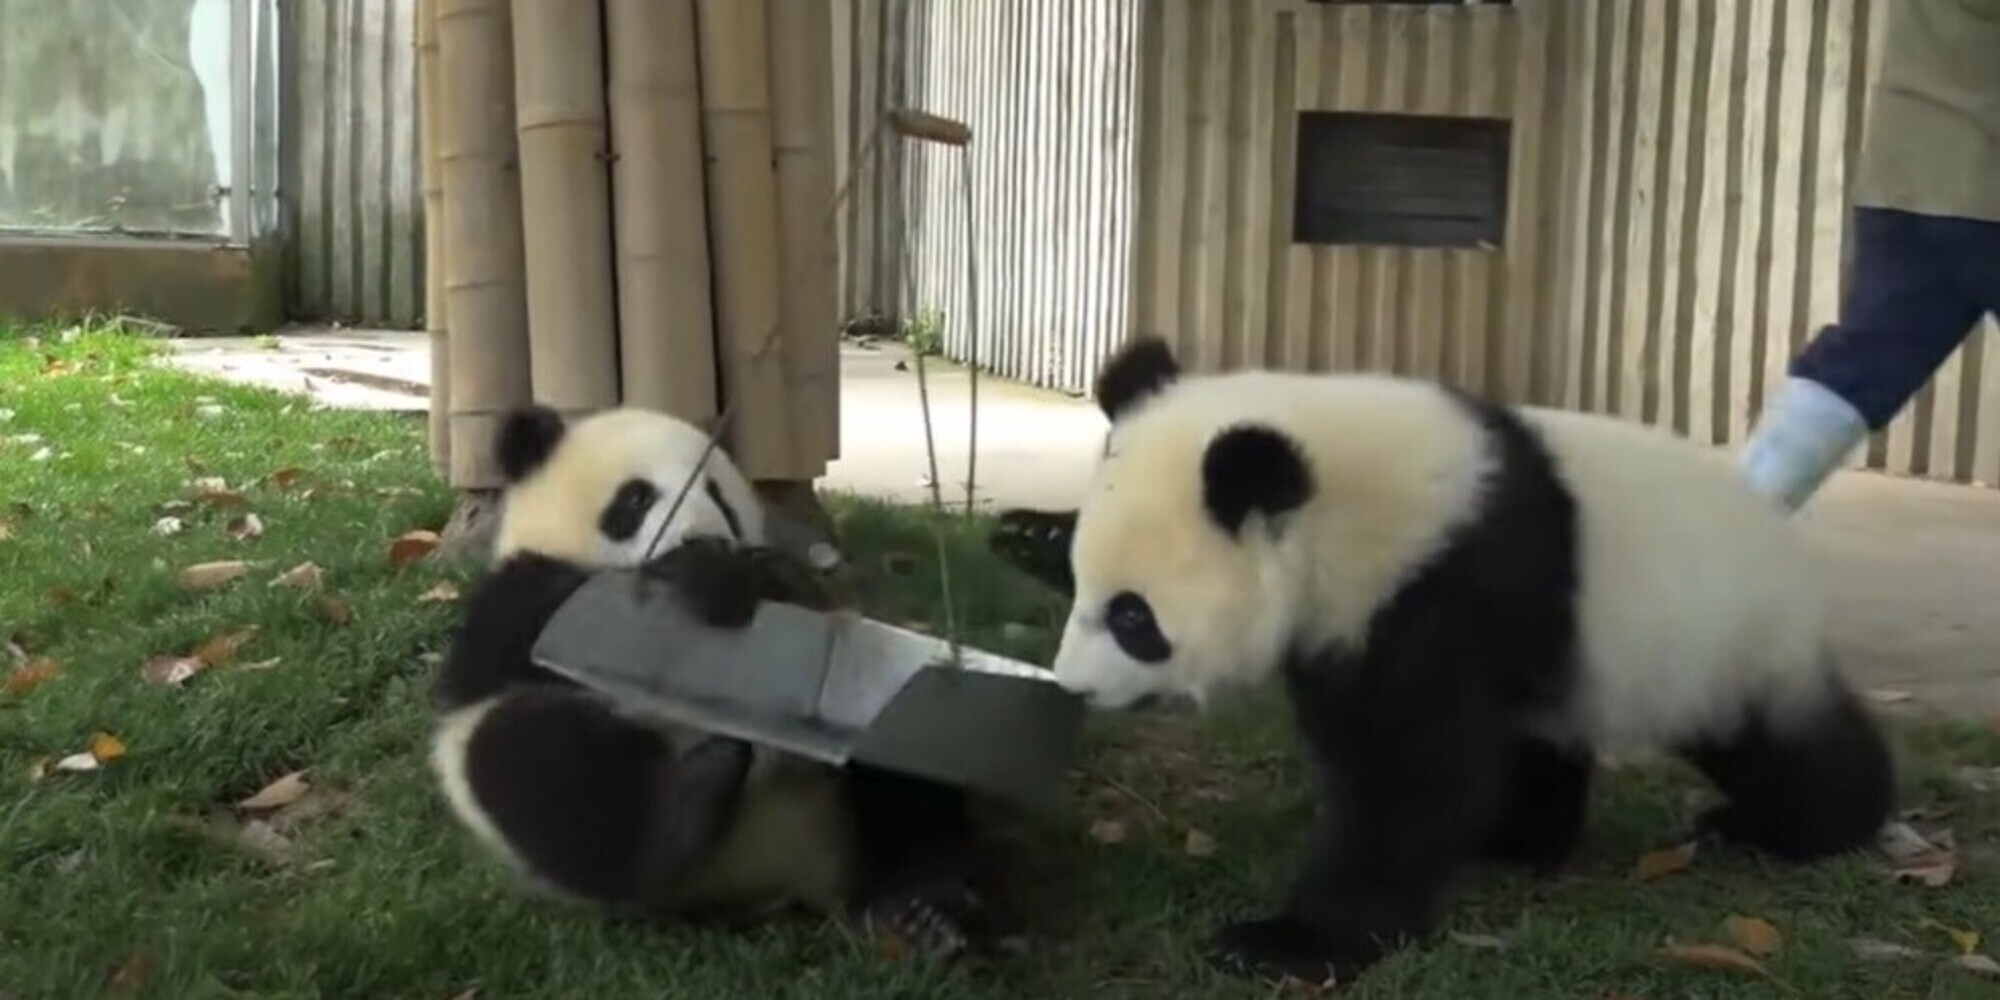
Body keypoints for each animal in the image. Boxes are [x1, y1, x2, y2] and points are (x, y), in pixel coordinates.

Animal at [428, 403, 1007, 956]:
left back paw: (921, 903)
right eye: (635, 500)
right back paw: (691, 797)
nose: (704, 538)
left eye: (718, 495)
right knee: (537, 759)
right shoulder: (523, 599)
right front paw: (706, 577)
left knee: (908, 765)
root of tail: (779, 879)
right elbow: (527, 641)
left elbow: (803, 596)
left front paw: (739, 574)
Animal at [1043, 336, 1896, 984]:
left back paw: (1798, 822)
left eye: (1132, 617)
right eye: (1078, 582)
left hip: (1723, 641)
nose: (1073, 686)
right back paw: (1522, 838)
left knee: (1782, 748)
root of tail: (1781, 539)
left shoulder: (1438, 586)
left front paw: (1288, 943)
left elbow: (1408, 773)